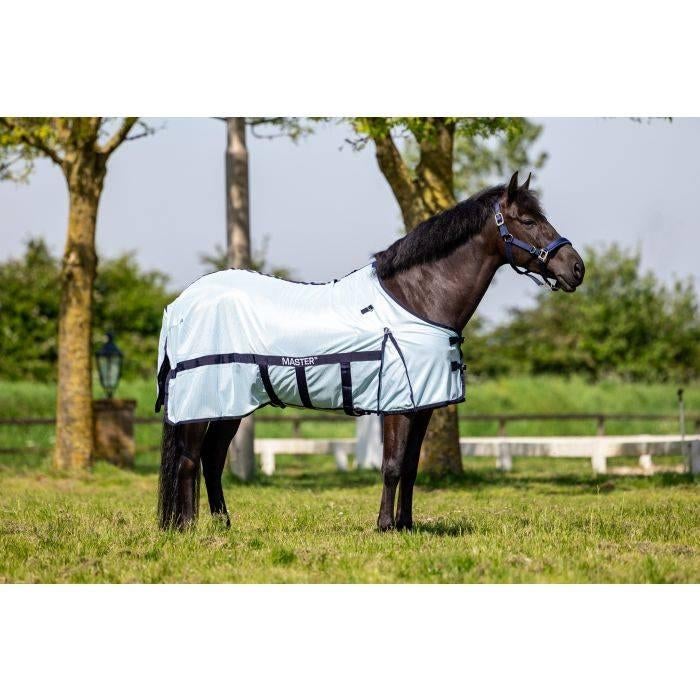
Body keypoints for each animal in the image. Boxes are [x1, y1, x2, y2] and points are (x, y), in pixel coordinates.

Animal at [156, 171, 585, 531]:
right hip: (202, 401)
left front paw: (406, 525)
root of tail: (180, 305)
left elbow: (411, 467)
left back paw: (223, 526)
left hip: (229, 403)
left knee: (212, 459)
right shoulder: (396, 404)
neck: (416, 299)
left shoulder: (423, 405)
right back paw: (188, 529)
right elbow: (392, 466)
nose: (577, 268)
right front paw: (384, 526)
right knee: (189, 461)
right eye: (527, 221)